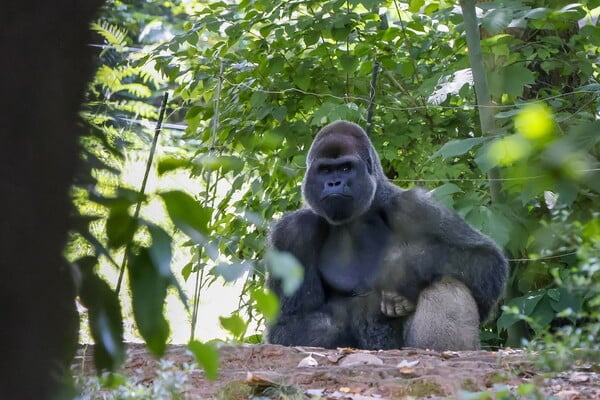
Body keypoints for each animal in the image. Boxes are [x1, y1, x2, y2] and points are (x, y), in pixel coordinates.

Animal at [266, 121, 506, 350]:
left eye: (345, 168)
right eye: (324, 170)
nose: (333, 183)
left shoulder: (415, 207)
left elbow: (487, 262)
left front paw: (404, 268)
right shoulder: (292, 233)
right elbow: (290, 323)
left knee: (447, 281)